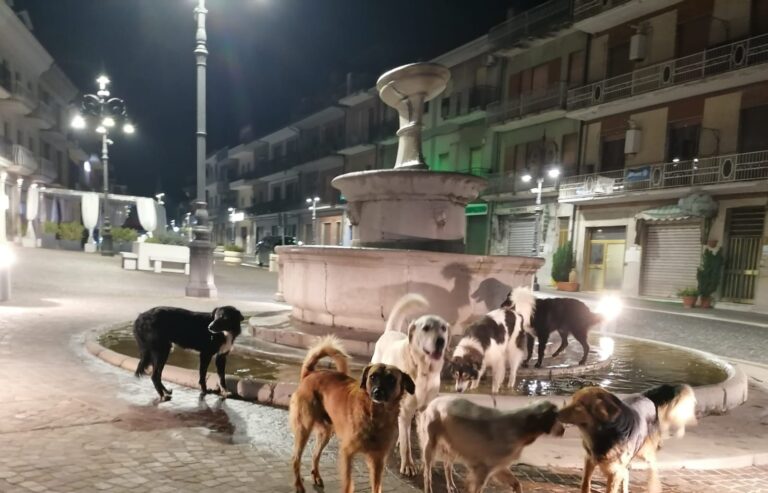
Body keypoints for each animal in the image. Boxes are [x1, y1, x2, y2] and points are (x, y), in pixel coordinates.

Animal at [292, 334, 416, 492]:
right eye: (372, 377)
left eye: (391, 379)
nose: (377, 392)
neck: (375, 416)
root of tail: (310, 374)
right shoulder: (347, 453)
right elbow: (348, 484)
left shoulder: (377, 460)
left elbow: (377, 487)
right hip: (304, 428)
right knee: (296, 459)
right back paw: (298, 485)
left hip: (325, 433)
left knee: (315, 454)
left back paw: (316, 476)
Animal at [370, 294, 450, 474]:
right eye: (426, 328)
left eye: (443, 328)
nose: (441, 341)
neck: (423, 371)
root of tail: (390, 331)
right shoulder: (406, 409)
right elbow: (407, 444)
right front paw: (407, 465)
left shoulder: (423, 410)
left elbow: (422, 440)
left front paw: (426, 464)